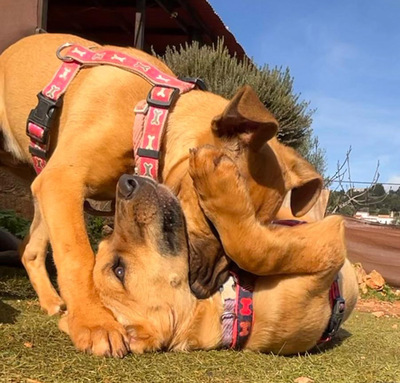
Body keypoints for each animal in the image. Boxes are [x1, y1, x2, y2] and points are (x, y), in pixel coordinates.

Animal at [0, 33, 324, 356]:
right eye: (212, 220)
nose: (202, 289)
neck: (149, 115)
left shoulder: (68, 189)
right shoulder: (62, 180)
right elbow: (78, 257)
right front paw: (94, 323)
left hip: (41, 183)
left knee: (29, 248)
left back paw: (51, 301)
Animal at [91, 158, 360, 354]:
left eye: (106, 242)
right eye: (118, 270)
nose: (125, 181)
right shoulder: (330, 241)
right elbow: (253, 249)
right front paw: (217, 180)